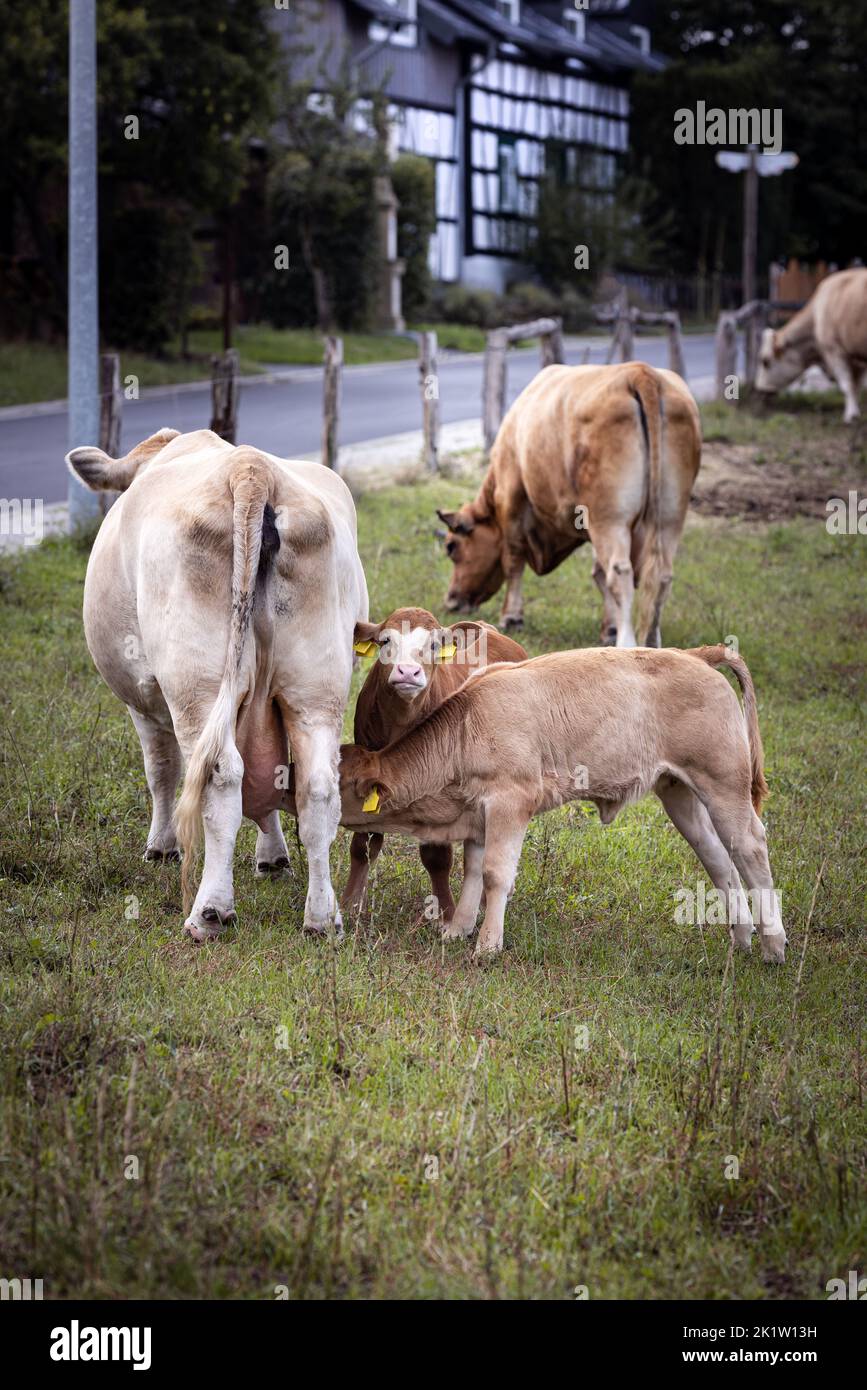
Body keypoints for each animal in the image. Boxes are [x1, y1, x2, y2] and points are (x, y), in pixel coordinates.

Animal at [67, 425, 366, 945]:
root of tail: (249, 469)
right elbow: (272, 778)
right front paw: (273, 856)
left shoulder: (144, 701)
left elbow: (161, 770)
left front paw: (161, 847)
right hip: (316, 691)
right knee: (317, 786)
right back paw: (322, 918)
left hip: (196, 689)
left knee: (219, 776)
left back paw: (210, 910)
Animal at [334, 642, 789, 961]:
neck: (466, 725)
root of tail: (694, 654)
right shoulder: (479, 811)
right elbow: (473, 870)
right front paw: (457, 929)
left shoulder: (510, 801)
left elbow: (496, 874)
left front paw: (487, 945)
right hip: (680, 793)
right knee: (718, 858)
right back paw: (741, 938)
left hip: (723, 785)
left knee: (750, 847)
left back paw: (773, 946)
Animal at [436, 358, 700, 639]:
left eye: (451, 546)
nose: (451, 601)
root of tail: (639, 372)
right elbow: (598, 572)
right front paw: (610, 628)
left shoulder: (512, 499)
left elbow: (513, 561)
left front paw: (511, 616)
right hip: (670, 515)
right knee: (659, 575)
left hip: (610, 517)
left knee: (620, 574)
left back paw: (628, 641)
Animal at [755, 266, 867, 422]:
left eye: (765, 361)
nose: (759, 391)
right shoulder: (857, 358)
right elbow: (856, 386)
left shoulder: (834, 351)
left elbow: (847, 385)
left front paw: (850, 416)